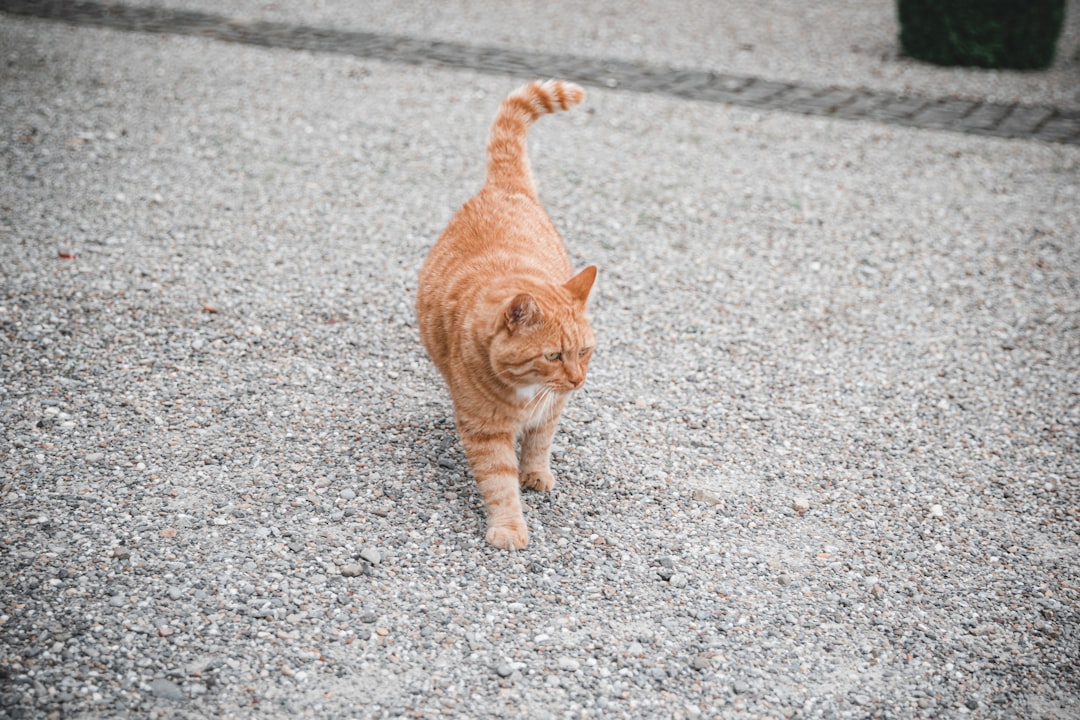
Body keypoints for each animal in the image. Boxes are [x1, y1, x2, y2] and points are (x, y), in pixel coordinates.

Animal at [414, 80, 600, 552]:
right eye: (553, 355)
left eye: (585, 352)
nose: (578, 381)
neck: (528, 390)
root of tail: (501, 186)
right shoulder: (484, 429)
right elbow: (499, 481)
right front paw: (510, 526)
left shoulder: (551, 409)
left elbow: (539, 443)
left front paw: (535, 473)